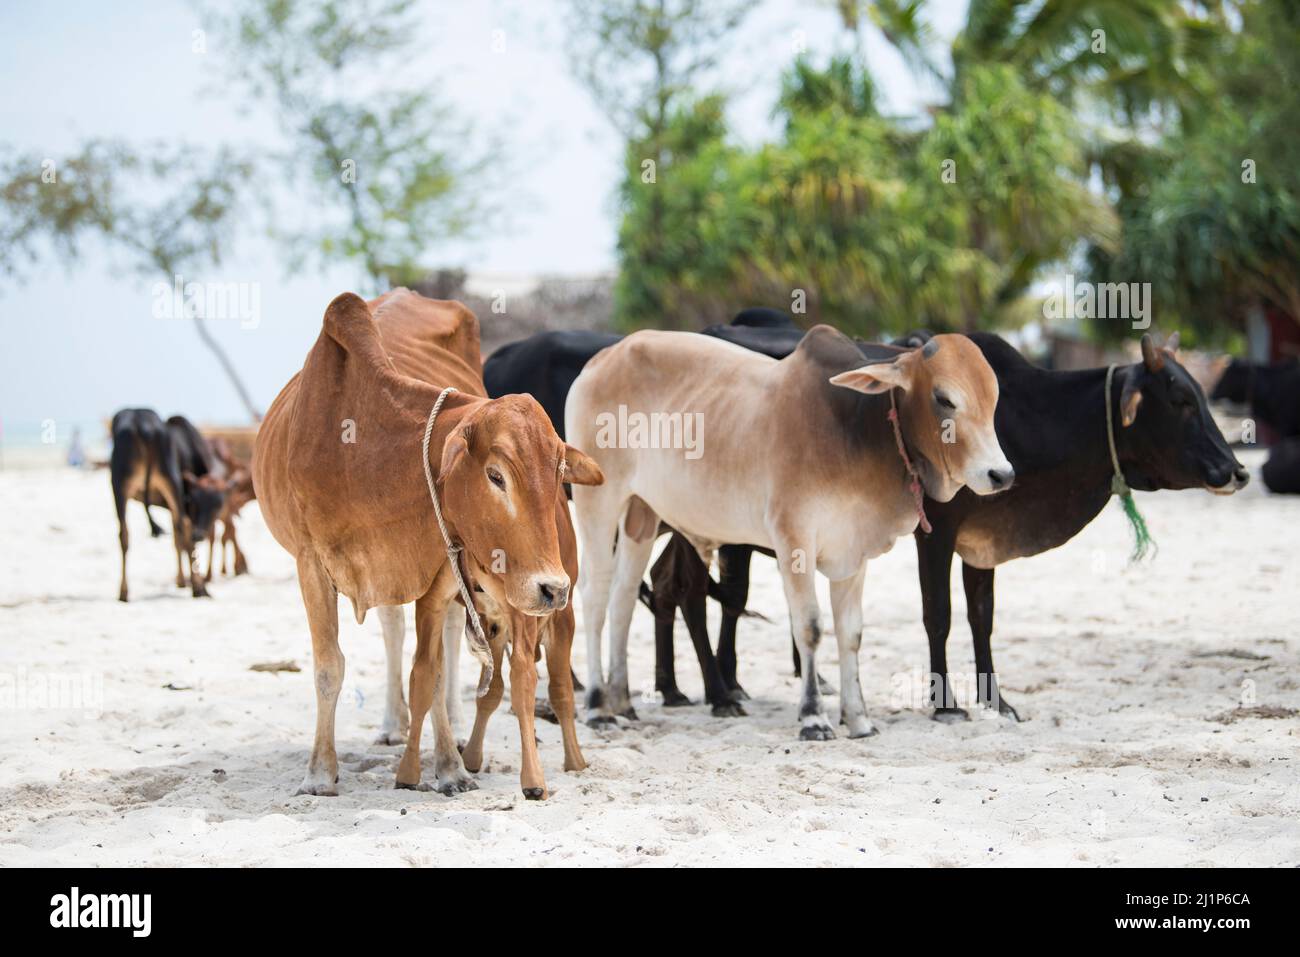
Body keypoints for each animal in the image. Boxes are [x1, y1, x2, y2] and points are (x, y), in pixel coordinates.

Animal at [110, 408, 230, 600]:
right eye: (196, 503)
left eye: (218, 505)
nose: (200, 534)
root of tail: (141, 421)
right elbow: (182, 538)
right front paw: (187, 581)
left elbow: (176, 540)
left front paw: (181, 580)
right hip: (172, 481)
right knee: (184, 530)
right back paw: (199, 588)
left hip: (119, 484)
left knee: (124, 535)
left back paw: (123, 592)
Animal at [253, 287, 603, 795]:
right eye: (496, 475)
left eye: (559, 472)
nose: (553, 589)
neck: (366, 456)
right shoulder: (311, 562)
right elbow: (329, 666)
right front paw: (320, 772)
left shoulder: (443, 569)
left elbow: (435, 670)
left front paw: (449, 767)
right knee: (392, 629)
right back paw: (391, 724)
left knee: (452, 642)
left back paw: (453, 729)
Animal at [564, 327, 1008, 738]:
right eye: (944, 398)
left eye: (994, 398)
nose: (1001, 474)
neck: (855, 426)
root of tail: (603, 358)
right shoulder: (793, 538)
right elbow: (809, 627)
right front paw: (814, 717)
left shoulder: (853, 551)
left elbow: (851, 633)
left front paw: (859, 719)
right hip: (598, 502)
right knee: (595, 594)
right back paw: (598, 707)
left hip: (642, 513)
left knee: (623, 597)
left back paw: (622, 700)